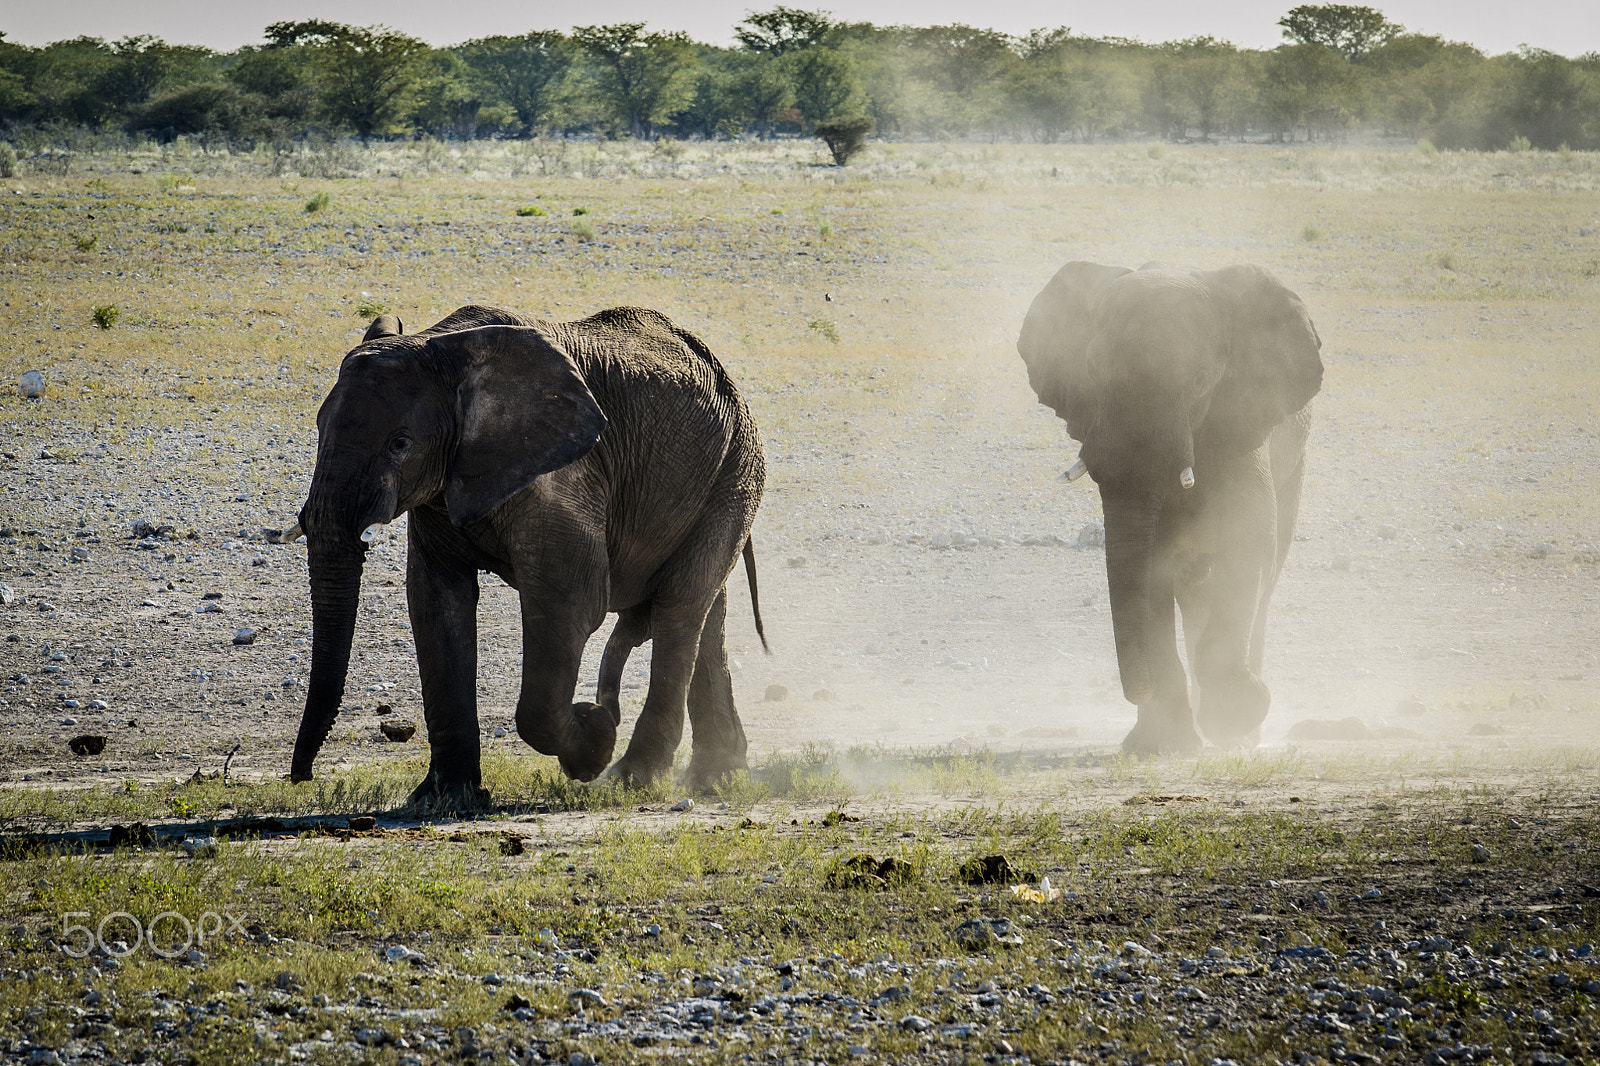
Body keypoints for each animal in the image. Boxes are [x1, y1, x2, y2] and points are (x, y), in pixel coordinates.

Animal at [288, 304, 767, 806]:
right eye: (317, 429)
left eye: (400, 444)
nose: (302, 777)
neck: (445, 347)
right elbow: (437, 604)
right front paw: (442, 799)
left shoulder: (564, 475)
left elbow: (570, 603)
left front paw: (593, 740)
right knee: (704, 615)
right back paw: (717, 777)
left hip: (735, 474)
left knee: (680, 608)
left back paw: (635, 779)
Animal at [1017, 261, 1323, 754]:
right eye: (1092, 370)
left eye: (1199, 381)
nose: (1137, 693)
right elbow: (1150, 566)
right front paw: (1161, 746)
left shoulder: (1241, 417)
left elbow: (1249, 540)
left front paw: (1233, 716)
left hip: (1294, 465)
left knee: (1264, 573)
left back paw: (1241, 737)